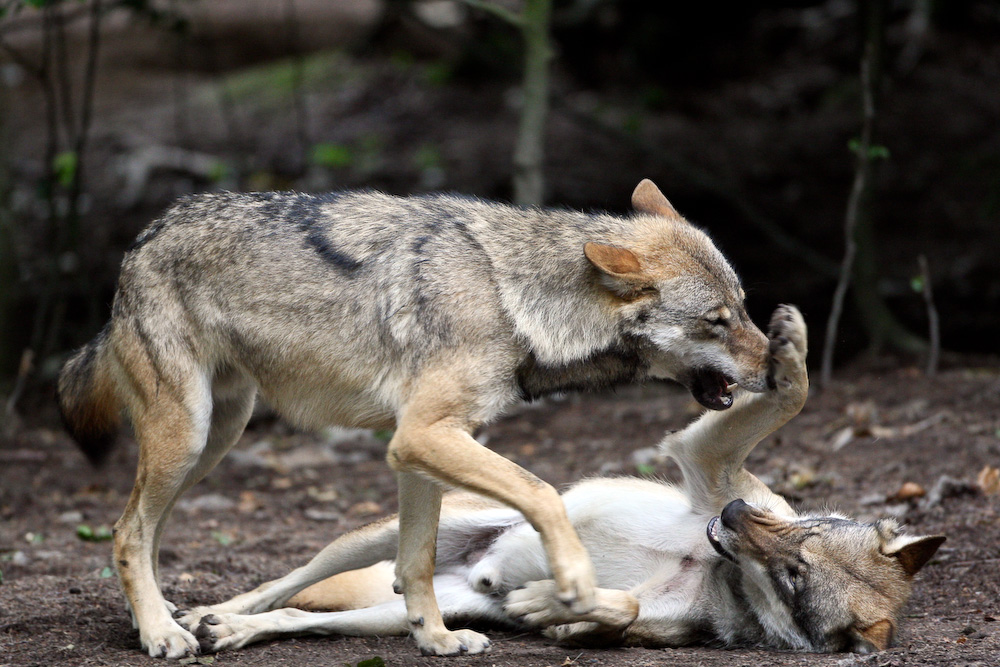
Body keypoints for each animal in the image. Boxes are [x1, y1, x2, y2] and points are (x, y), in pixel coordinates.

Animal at [56, 179, 772, 656]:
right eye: (717, 321)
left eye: (744, 305)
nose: (779, 365)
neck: (514, 299)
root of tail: (144, 237)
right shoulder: (421, 436)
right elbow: (544, 493)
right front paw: (571, 580)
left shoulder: (424, 449)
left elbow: (417, 563)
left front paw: (436, 638)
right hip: (188, 438)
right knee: (126, 532)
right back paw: (160, 633)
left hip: (213, 442)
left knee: (146, 533)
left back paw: (171, 619)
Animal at [182, 306, 944, 656]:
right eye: (799, 532)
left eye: (793, 576)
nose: (729, 514)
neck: (714, 562)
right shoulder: (705, 457)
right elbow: (795, 392)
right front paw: (789, 347)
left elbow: (619, 609)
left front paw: (547, 606)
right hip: (375, 540)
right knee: (280, 584)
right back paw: (204, 615)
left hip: (404, 614)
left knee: (299, 618)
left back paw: (230, 632)